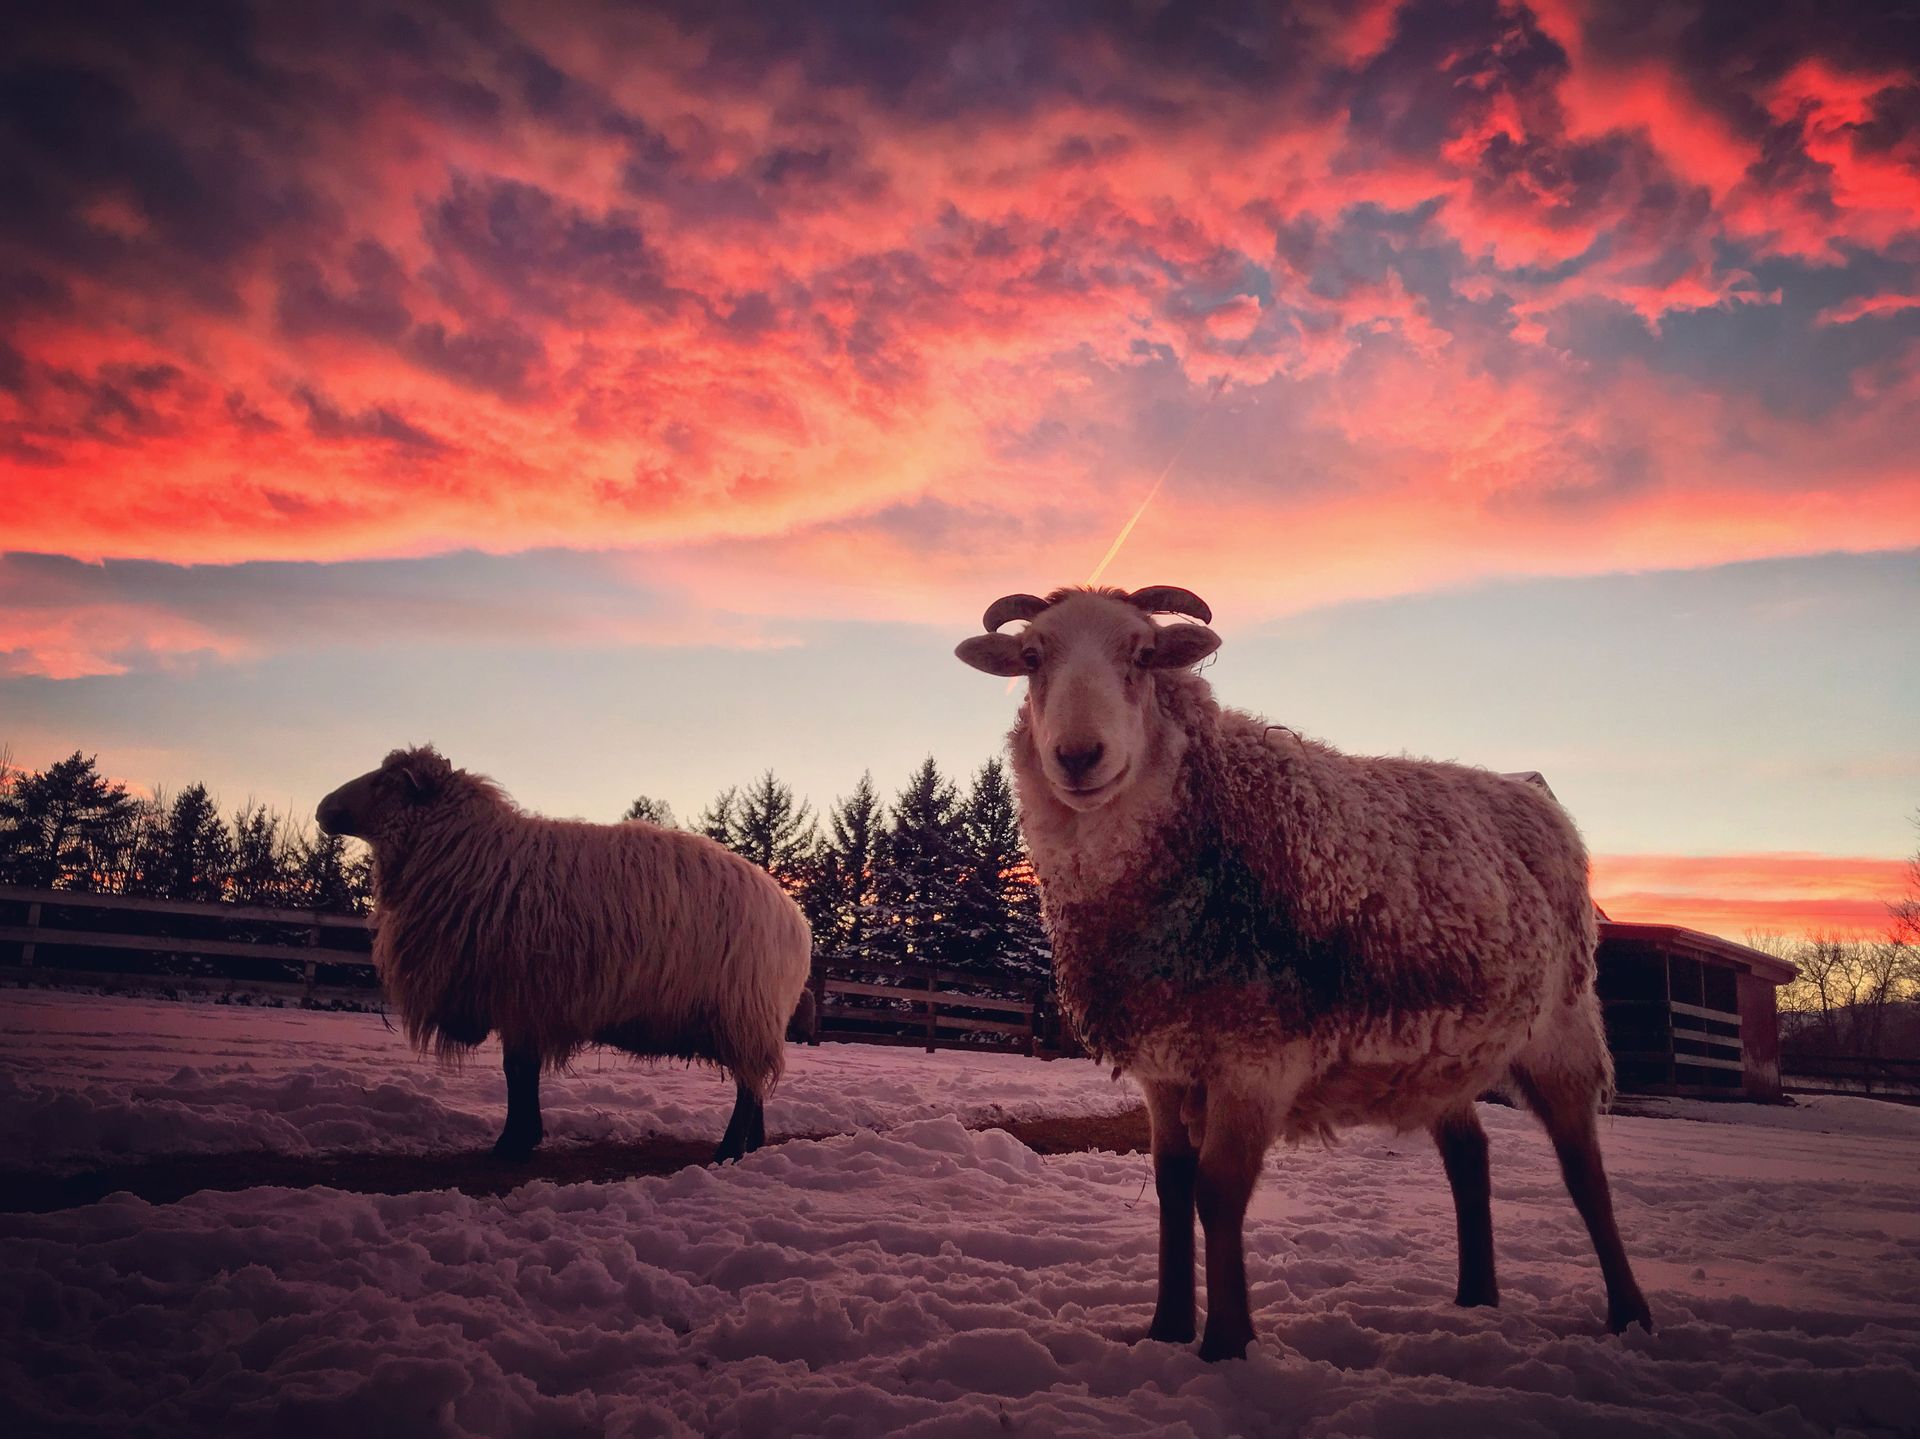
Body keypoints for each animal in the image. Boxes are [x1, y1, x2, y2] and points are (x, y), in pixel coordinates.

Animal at [315, 746, 813, 1164]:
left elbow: (518, 1071)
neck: (469, 852)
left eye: (387, 781)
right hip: (751, 1021)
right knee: (755, 1084)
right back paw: (751, 1145)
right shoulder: (528, 1000)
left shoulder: (520, 995)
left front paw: (513, 1143)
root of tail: (794, 915)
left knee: (748, 1088)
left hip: (743, 1012)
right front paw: (521, 1138)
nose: (322, 809)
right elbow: (522, 1071)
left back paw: (729, 1150)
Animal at [955, 585, 1652, 1361]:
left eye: (1143, 653)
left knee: (1584, 1172)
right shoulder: (1164, 1063)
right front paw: (1166, 1329)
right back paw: (1476, 1297)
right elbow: (1171, 1186)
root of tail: (1536, 800)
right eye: (1031, 658)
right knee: (1470, 1156)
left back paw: (1629, 1313)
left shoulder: (1257, 1055)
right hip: (1440, 1057)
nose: (1078, 756)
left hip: (1560, 1027)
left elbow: (1218, 1191)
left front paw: (1227, 1344)